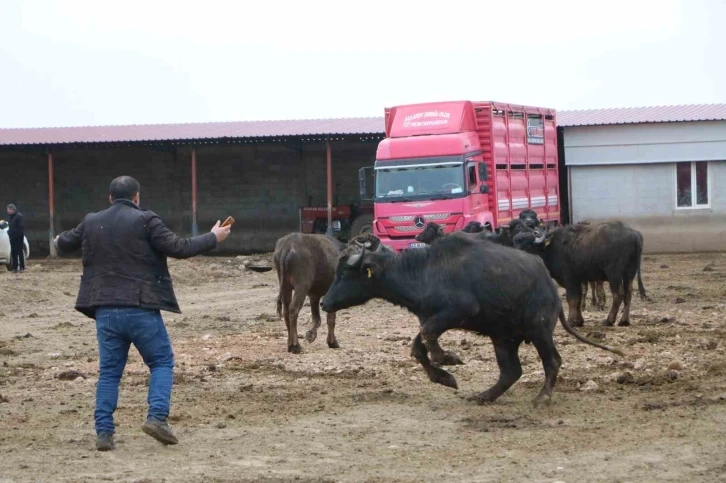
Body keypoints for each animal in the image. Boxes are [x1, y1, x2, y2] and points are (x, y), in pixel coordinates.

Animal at [322, 233, 624, 406]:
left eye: (345, 273)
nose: (325, 302)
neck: (423, 272)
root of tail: (549, 285)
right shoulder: (432, 316)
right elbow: (418, 346)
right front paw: (444, 377)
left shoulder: (457, 310)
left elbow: (428, 338)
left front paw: (447, 360)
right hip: (503, 338)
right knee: (511, 371)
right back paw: (484, 396)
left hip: (539, 330)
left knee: (552, 361)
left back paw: (542, 397)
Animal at [516, 222, 652, 328]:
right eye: (515, 244)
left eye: (528, 246)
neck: (551, 247)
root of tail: (633, 234)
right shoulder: (578, 280)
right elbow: (579, 299)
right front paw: (579, 321)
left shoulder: (570, 279)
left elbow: (572, 299)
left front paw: (571, 321)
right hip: (630, 273)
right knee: (628, 294)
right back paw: (624, 321)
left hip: (614, 274)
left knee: (618, 295)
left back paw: (609, 320)